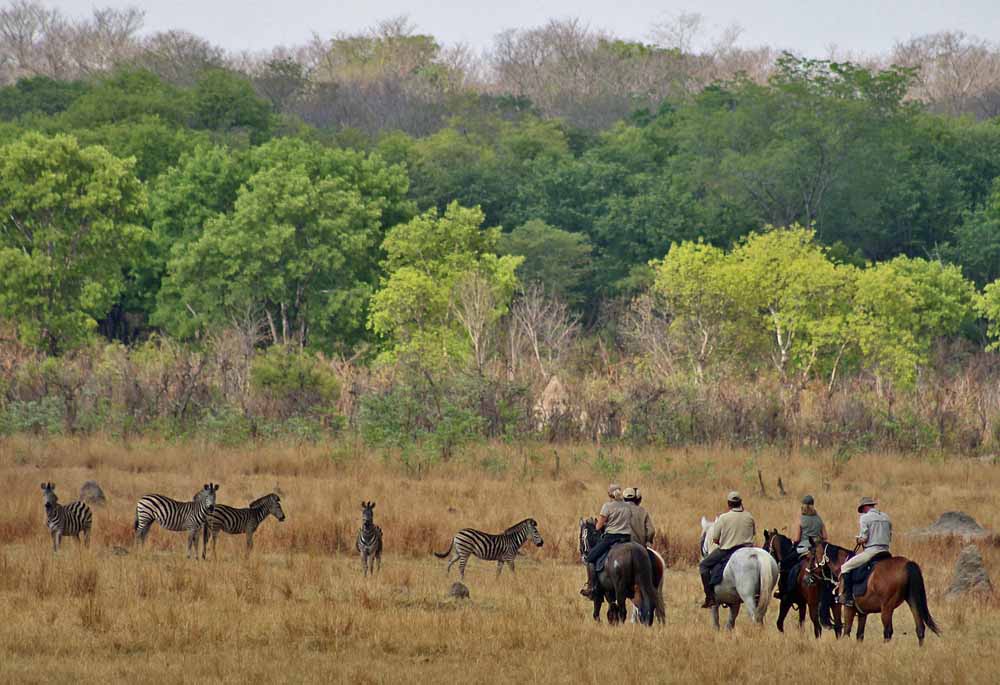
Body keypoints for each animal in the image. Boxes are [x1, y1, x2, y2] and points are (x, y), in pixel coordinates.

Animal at [808, 536, 940, 644]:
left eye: (811, 555)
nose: (807, 577)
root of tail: (908, 564)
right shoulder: (862, 612)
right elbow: (859, 635)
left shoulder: (848, 608)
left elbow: (847, 631)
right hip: (912, 601)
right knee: (920, 628)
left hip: (887, 608)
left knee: (888, 632)